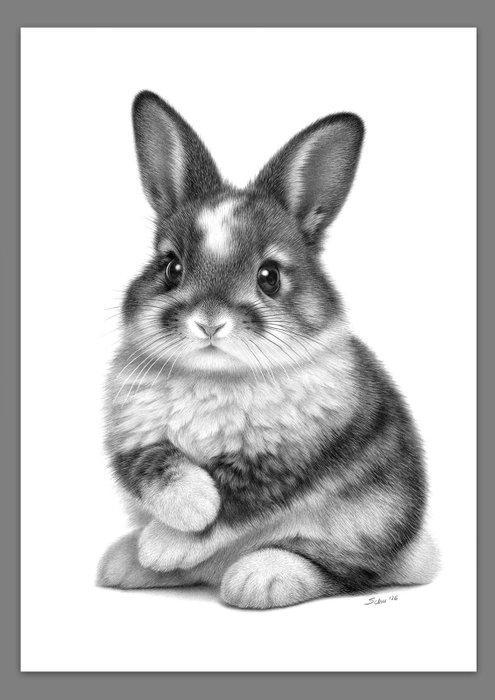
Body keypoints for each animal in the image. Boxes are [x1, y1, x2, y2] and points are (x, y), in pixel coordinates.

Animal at [97, 90, 439, 609]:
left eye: (269, 276)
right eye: (171, 267)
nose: (209, 322)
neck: (214, 377)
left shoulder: (282, 465)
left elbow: (230, 507)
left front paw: (166, 541)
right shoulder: (134, 441)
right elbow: (160, 470)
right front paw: (179, 517)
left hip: (364, 525)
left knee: (346, 571)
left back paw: (257, 577)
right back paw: (125, 562)